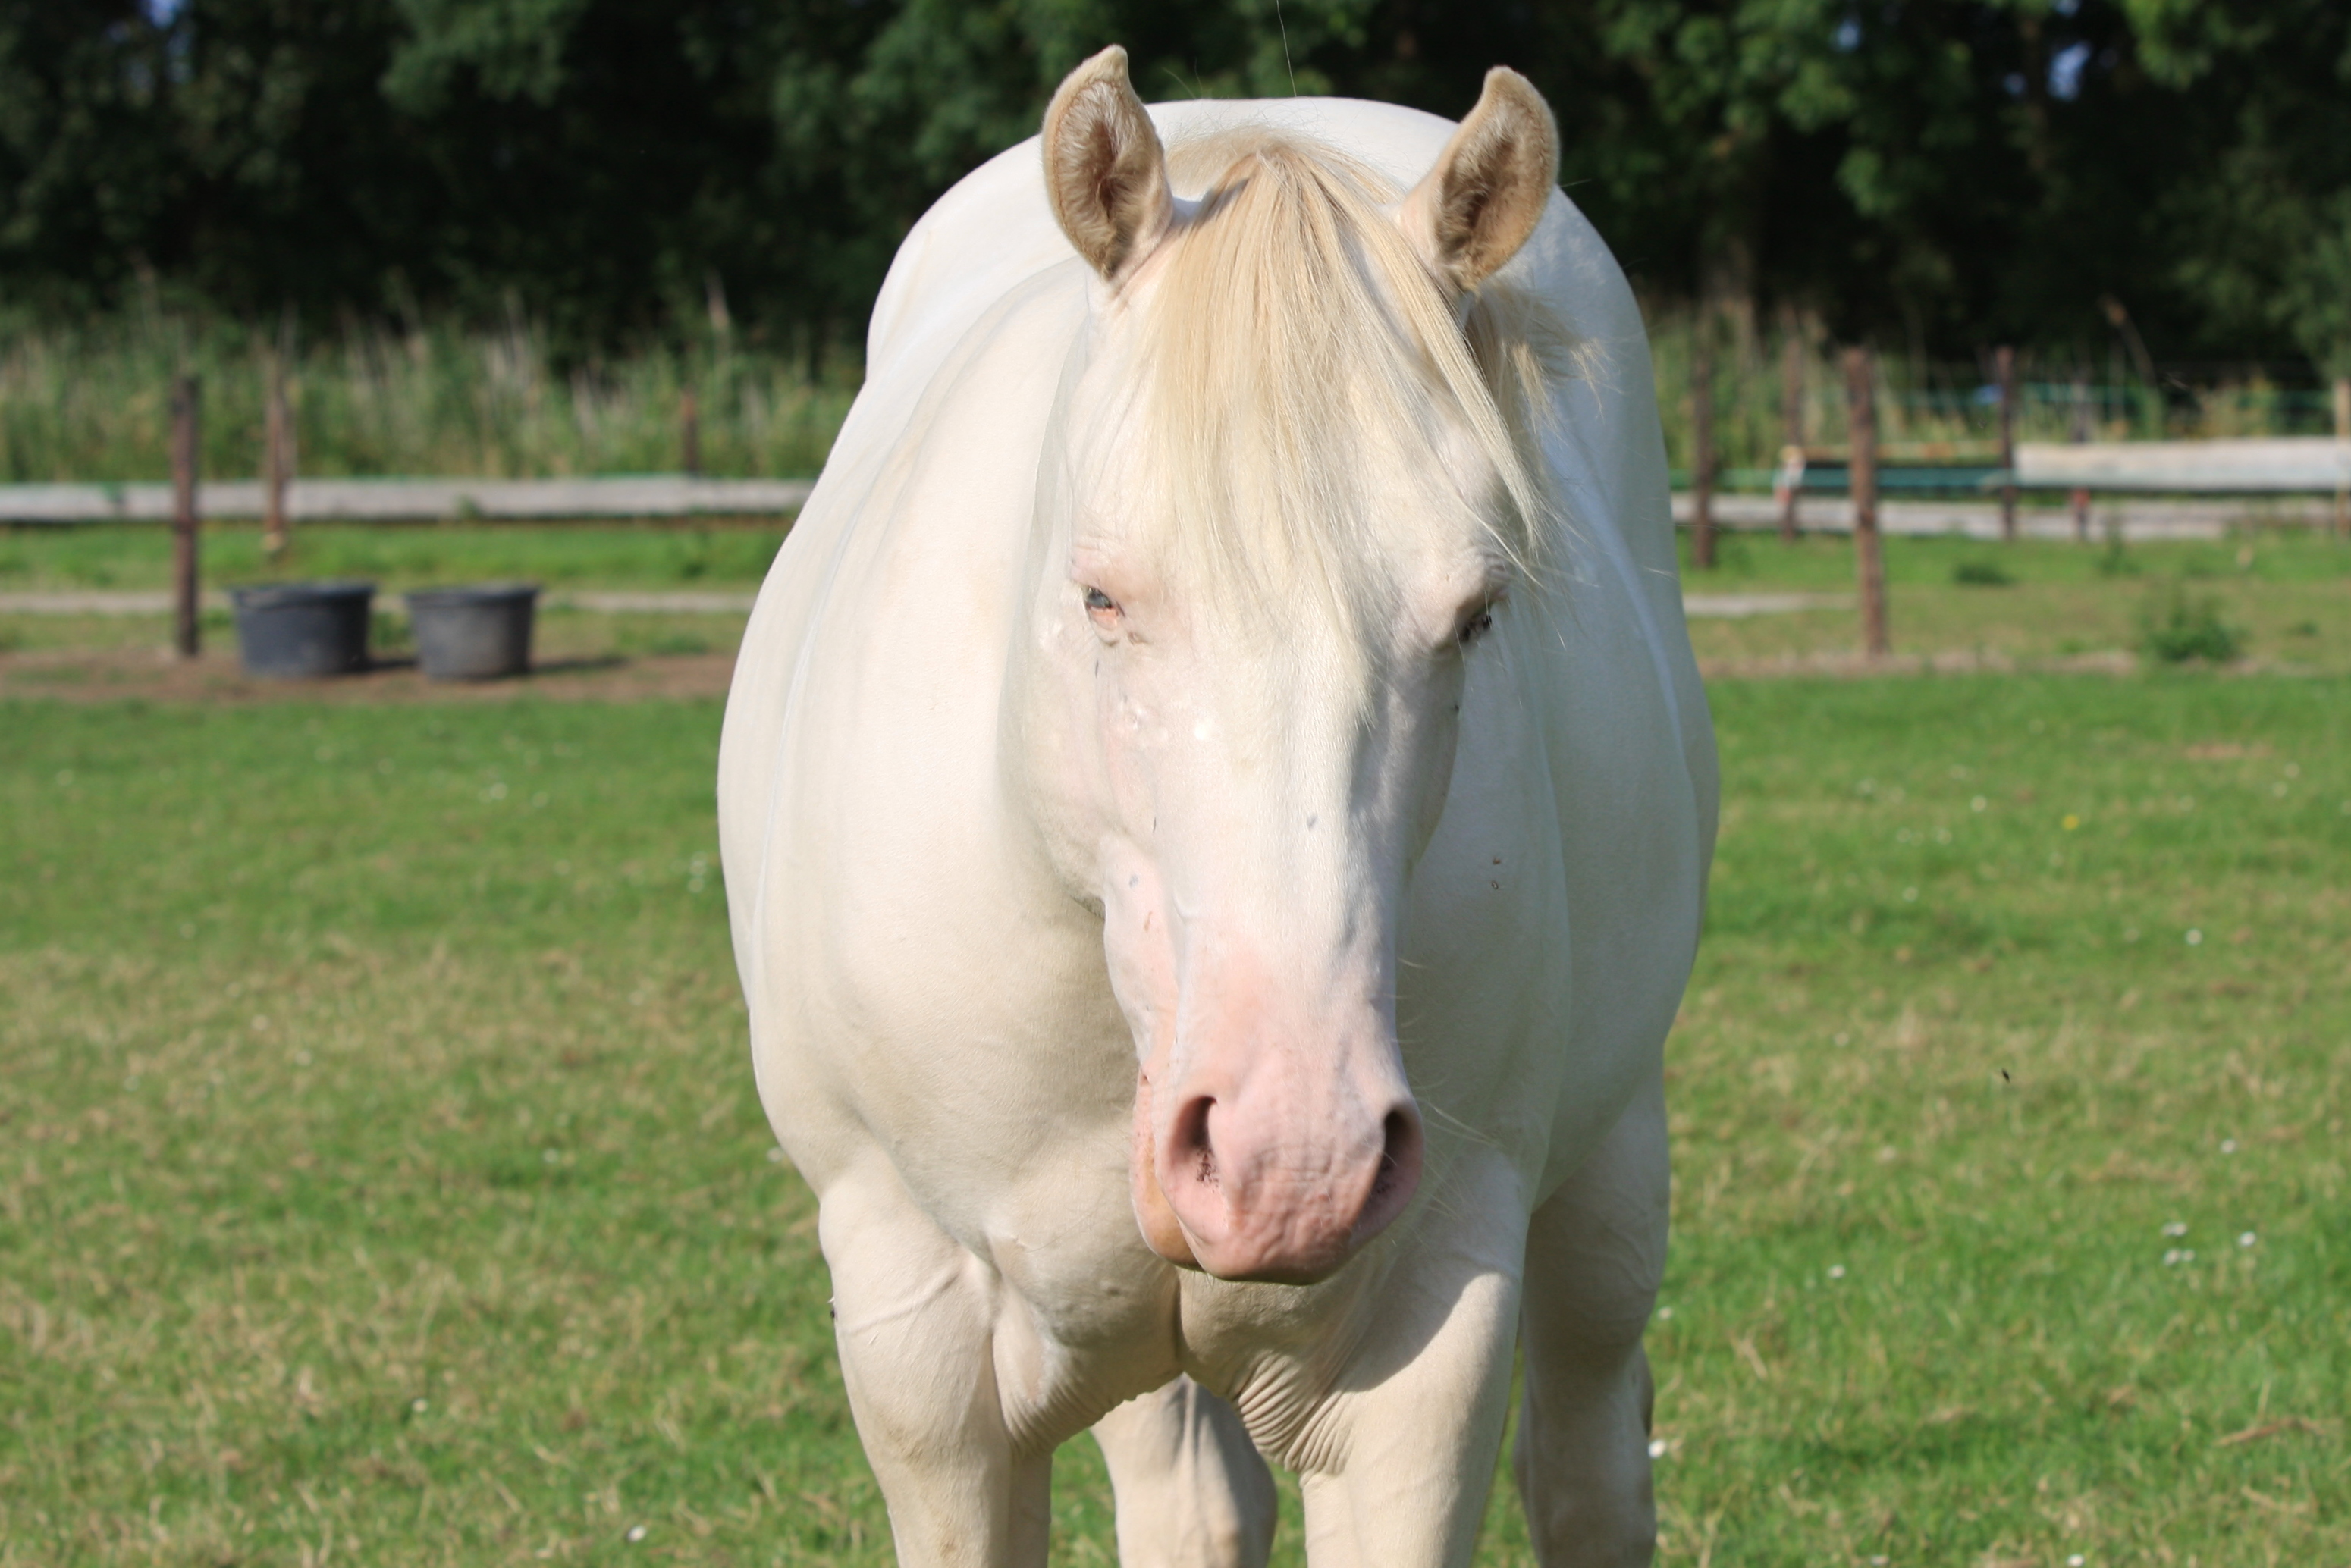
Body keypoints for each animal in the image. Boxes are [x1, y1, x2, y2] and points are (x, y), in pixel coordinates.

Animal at [714, 49, 1711, 1568]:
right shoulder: (920, 1349)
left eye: (1477, 613)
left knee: (1592, 1456)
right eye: (1101, 594)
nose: (1291, 1155)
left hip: (1609, 1180)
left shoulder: (1423, 1352)